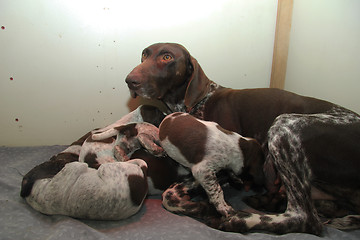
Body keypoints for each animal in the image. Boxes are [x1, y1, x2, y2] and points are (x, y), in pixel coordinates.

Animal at [124, 42, 360, 234]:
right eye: (144, 55)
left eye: (167, 57)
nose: (130, 81)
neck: (198, 102)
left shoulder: (217, 166)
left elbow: (169, 196)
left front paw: (206, 207)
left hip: (284, 126)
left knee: (305, 218)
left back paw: (240, 219)